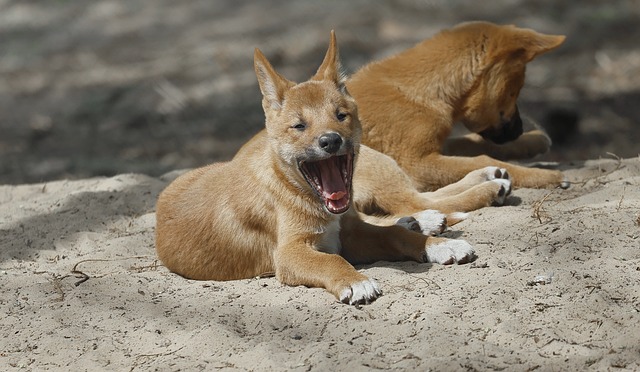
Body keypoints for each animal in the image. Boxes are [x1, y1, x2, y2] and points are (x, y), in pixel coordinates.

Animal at [155, 32, 476, 306]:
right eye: (299, 126)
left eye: (341, 115)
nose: (331, 141)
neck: (297, 190)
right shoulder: (290, 253)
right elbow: (330, 260)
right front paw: (355, 281)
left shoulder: (351, 233)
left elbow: (395, 236)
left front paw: (438, 245)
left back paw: (421, 220)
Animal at [348, 21, 572, 190]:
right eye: (515, 90)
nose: (520, 130)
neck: (421, 92)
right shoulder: (417, 163)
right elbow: (482, 159)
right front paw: (546, 176)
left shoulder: (439, 145)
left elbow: (473, 142)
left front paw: (533, 140)